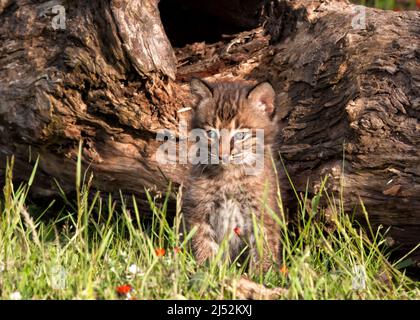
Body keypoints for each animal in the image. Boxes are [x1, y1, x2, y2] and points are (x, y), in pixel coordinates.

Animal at [182, 79, 280, 272]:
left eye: (241, 135)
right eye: (211, 133)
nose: (222, 154)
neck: (229, 177)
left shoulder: (262, 213)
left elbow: (263, 249)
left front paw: (262, 275)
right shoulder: (198, 210)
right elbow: (204, 245)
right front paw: (208, 272)